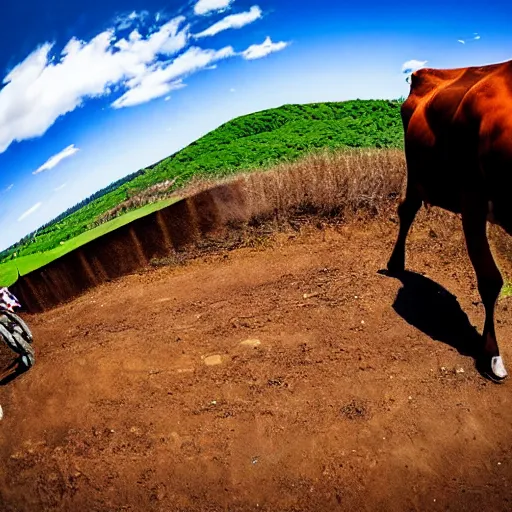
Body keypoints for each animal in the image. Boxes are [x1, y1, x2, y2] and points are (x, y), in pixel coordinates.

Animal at [388, 59, 512, 380]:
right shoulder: (472, 200)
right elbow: (491, 280)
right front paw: (491, 354)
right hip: (416, 173)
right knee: (407, 210)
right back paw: (395, 262)